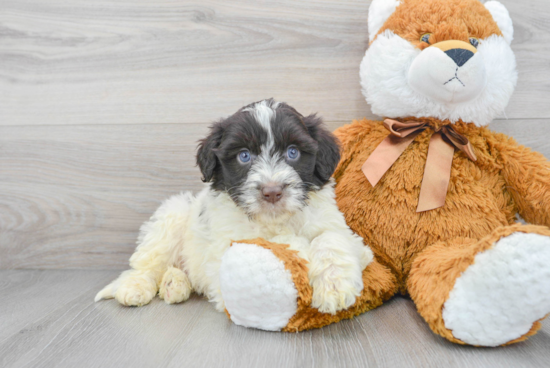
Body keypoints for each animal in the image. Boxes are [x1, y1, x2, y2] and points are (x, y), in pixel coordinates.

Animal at [96, 99, 376, 324]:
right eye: (244, 156)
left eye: (293, 152)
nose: (272, 191)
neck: (274, 220)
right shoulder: (228, 248)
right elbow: (280, 244)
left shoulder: (332, 222)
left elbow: (332, 238)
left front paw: (335, 284)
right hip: (172, 216)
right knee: (146, 263)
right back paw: (136, 287)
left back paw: (175, 284)